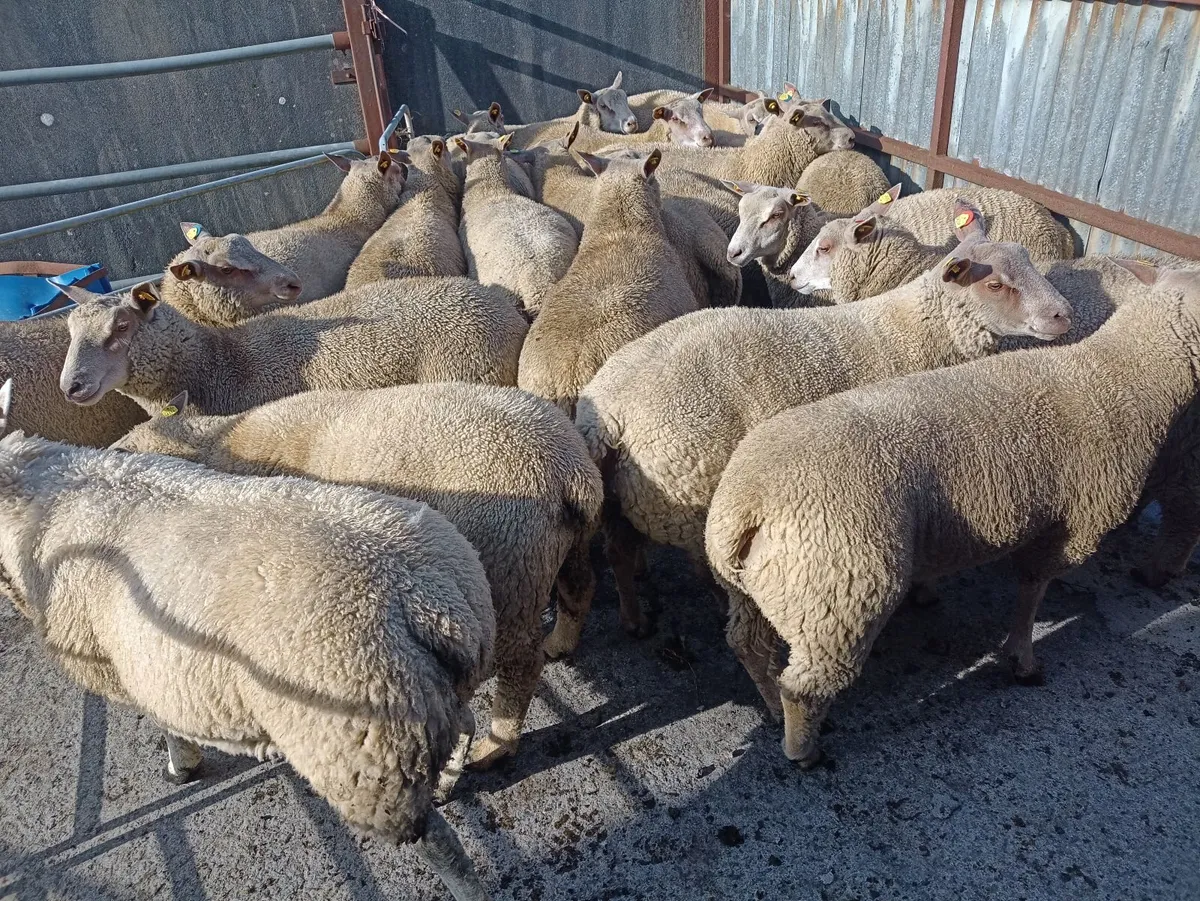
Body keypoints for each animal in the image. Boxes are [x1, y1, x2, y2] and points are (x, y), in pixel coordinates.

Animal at [0, 383, 495, 900]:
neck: (51, 494)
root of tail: (424, 597)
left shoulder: (121, 666)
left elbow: (165, 723)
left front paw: (181, 766)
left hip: (370, 760)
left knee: (438, 844)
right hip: (430, 701)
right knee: (466, 723)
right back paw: (450, 778)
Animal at [115, 380, 603, 772]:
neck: (216, 448)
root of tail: (569, 472)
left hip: (509, 569)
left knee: (522, 664)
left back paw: (494, 748)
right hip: (562, 549)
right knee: (580, 590)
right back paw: (561, 643)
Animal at [574, 204, 1082, 639]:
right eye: (995, 285)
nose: (1064, 315)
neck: (918, 329)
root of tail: (608, 415)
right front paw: (923, 591)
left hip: (623, 495)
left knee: (619, 552)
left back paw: (634, 618)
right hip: (687, 492)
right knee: (703, 566)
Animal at [704, 265, 1200, 766]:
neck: (1118, 376)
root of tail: (748, 502)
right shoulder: (1075, 524)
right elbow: (1032, 592)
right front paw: (1021, 658)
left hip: (757, 590)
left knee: (749, 647)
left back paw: (769, 709)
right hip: (839, 596)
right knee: (804, 688)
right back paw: (802, 749)